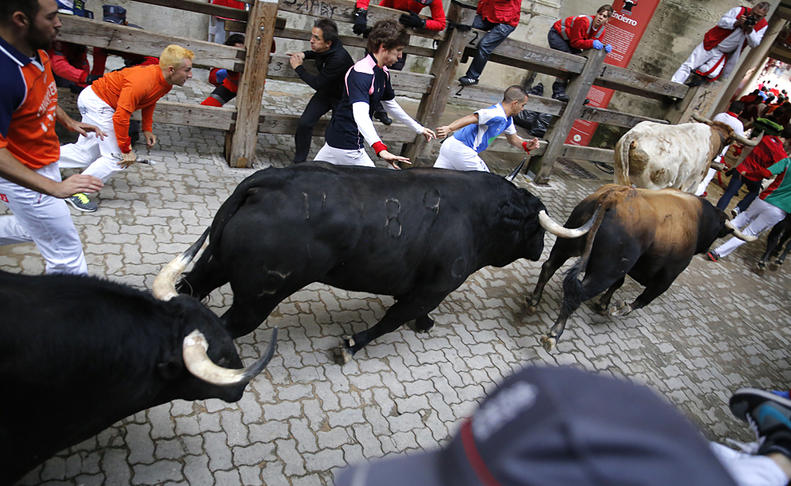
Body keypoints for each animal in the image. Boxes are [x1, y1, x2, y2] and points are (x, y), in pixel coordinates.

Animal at [173, 165, 592, 362]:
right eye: (533, 226)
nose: (541, 247)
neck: (479, 214)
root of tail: (270, 180)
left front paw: (425, 324)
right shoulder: (433, 288)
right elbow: (392, 320)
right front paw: (351, 345)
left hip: (215, 264)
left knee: (187, 290)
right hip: (259, 296)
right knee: (225, 326)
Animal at [524, 184, 756, 352]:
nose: (707, 247)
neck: (697, 217)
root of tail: (616, 196)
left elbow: (619, 284)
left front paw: (604, 304)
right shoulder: (667, 276)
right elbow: (644, 299)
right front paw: (620, 308)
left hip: (567, 245)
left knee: (548, 267)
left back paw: (534, 300)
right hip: (606, 269)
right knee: (576, 294)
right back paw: (553, 335)